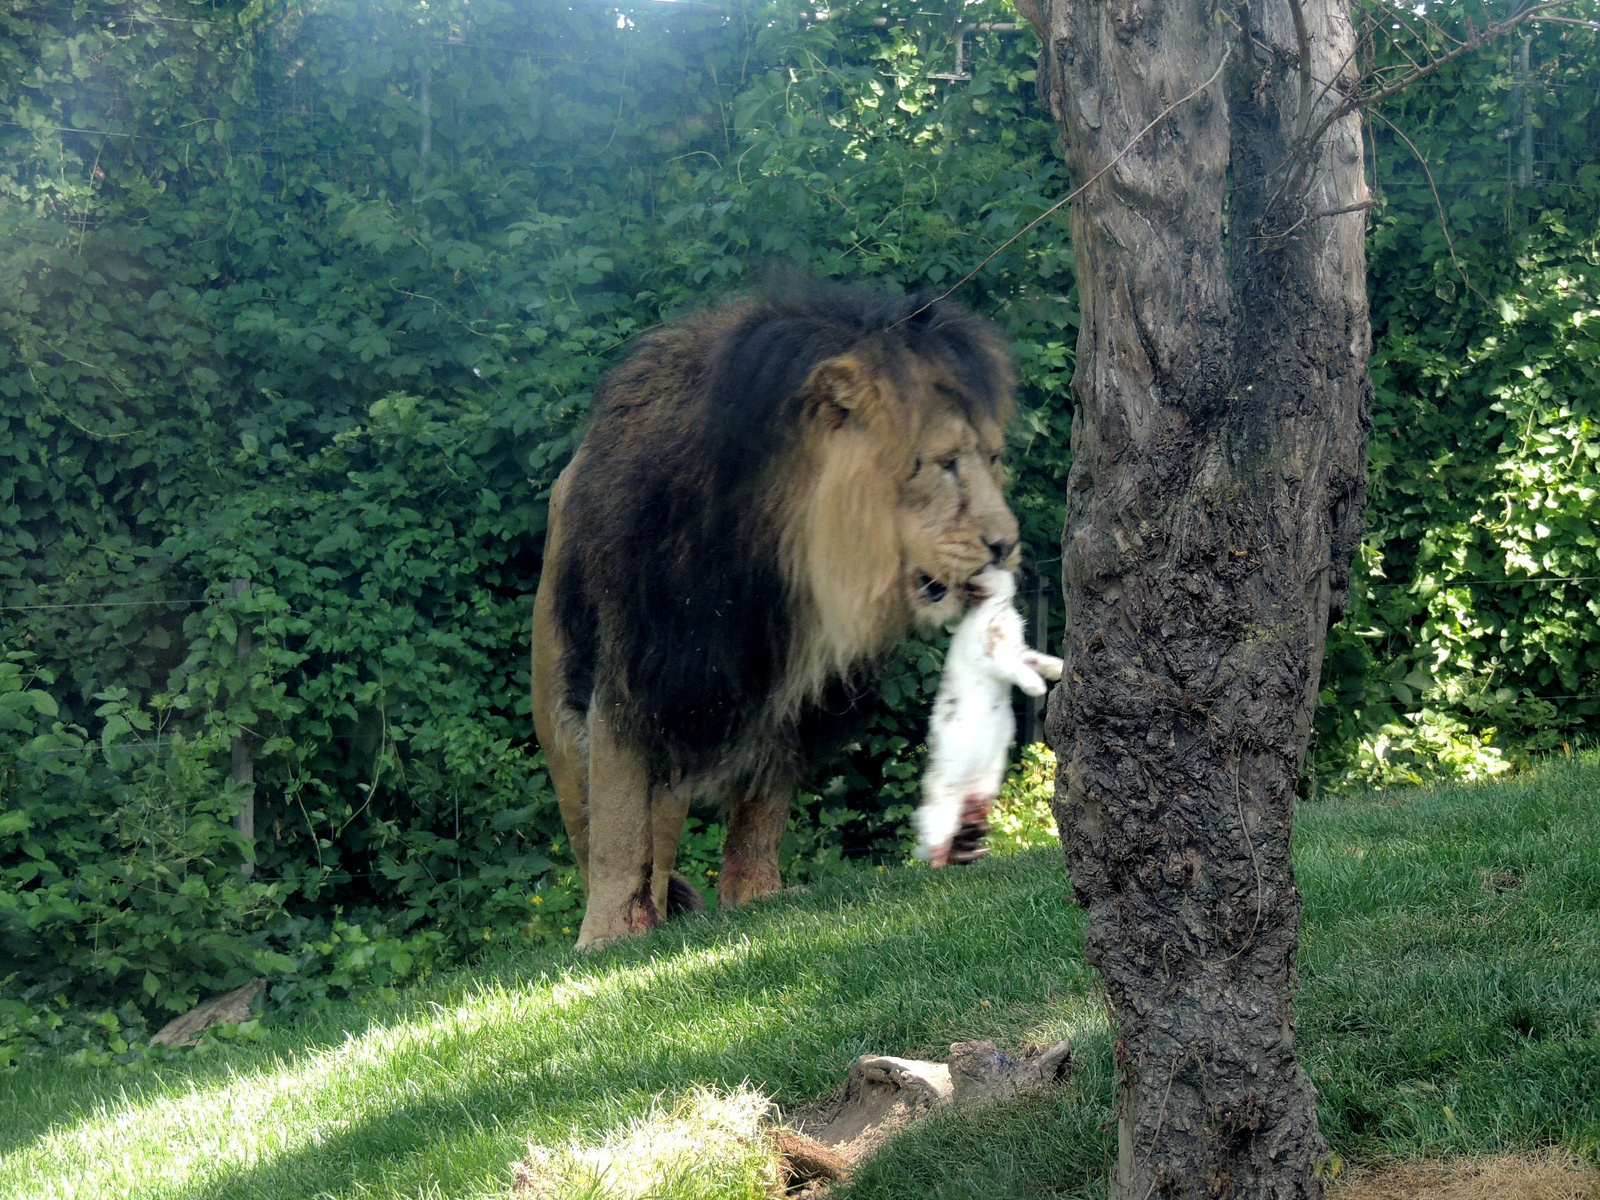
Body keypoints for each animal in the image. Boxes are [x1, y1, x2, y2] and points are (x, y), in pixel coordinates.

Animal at [531, 280, 1017, 947]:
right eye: (940, 463)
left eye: (992, 458)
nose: (1007, 543)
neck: (788, 555)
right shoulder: (637, 670)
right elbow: (618, 822)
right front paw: (606, 936)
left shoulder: (791, 686)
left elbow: (762, 808)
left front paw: (758, 898)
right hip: (561, 698)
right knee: (589, 816)